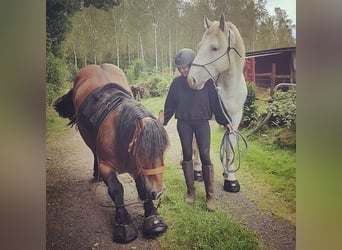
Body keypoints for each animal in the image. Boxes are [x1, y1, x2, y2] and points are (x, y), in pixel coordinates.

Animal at [53, 63, 170, 243]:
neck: (119, 135)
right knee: (94, 153)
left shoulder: (137, 169)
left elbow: (143, 189)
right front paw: (124, 224)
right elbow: (116, 189)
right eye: (141, 153)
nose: (158, 192)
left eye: (163, 151)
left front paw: (153, 219)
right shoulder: (107, 166)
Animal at [187, 13, 246, 193]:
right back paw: (197, 170)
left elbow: (229, 147)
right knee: (195, 144)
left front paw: (230, 178)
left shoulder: (234, 119)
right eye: (200, 46)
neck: (227, 89)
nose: (191, 80)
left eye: (214, 48)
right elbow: (200, 145)